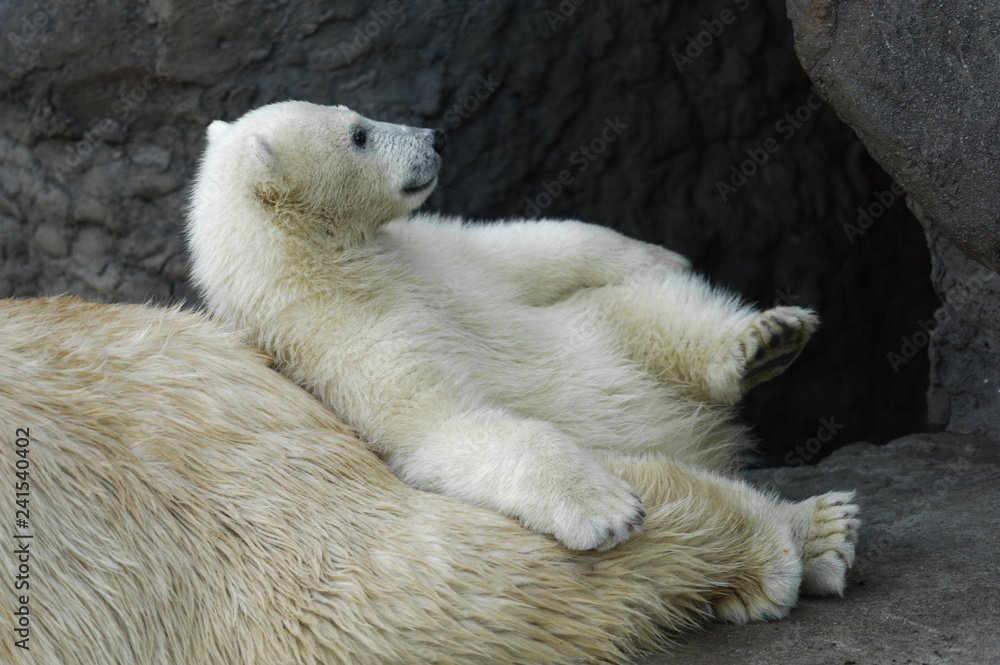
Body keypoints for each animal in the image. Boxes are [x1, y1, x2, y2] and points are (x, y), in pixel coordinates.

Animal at [185, 100, 849, 553]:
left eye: (355, 116)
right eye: (360, 135)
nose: (436, 136)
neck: (333, 267)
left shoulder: (433, 258)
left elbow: (525, 251)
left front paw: (661, 254)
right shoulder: (340, 341)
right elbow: (444, 425)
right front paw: (610, 511)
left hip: (598, 331)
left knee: (652, 315)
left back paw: (766, 340)